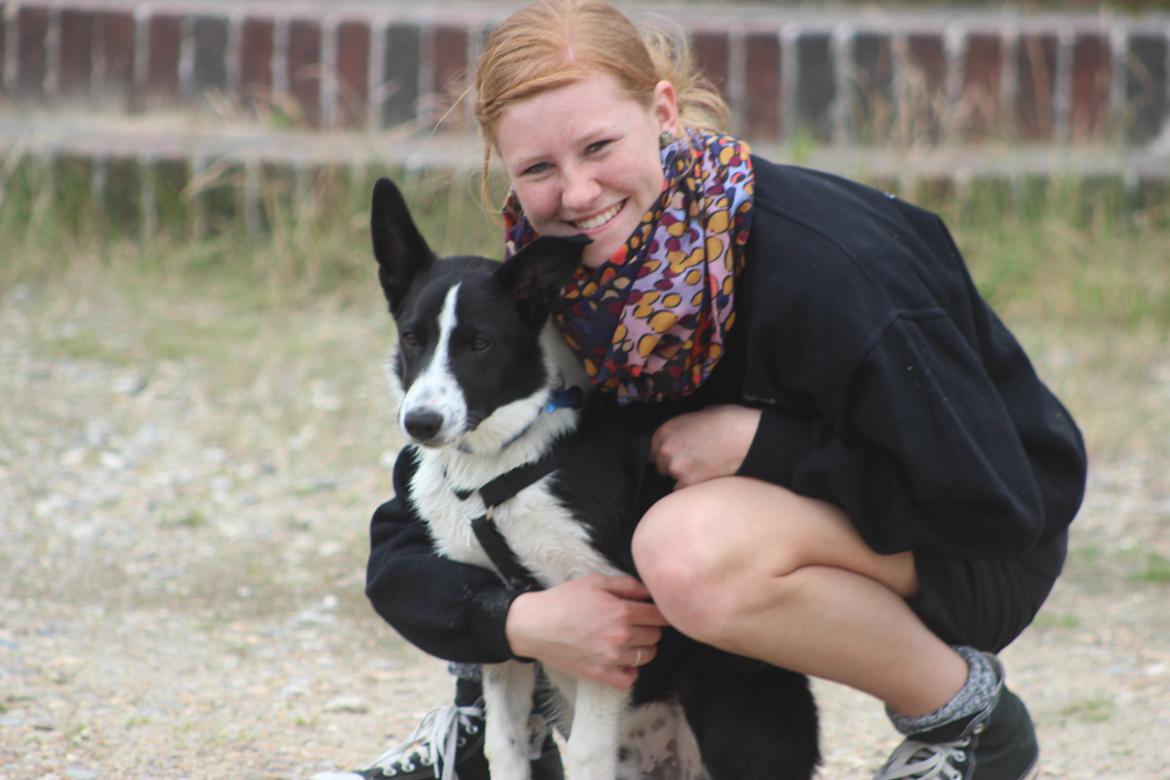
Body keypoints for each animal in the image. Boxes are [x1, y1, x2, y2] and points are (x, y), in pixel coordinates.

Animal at [369, 178, 819, 780]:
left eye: (480, 344)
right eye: (412, 337)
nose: (421, 423)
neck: (502, 463)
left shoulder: (611, 615)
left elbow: (585, 750)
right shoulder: (508, 620)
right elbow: (504, 745)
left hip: (722, 694)